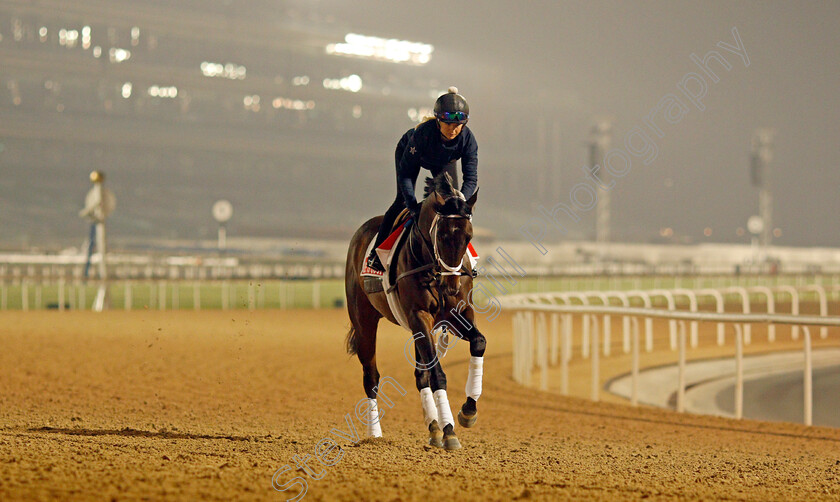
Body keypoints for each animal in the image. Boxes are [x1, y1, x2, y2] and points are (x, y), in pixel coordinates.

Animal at [342, 173, 486, 452]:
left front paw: (468, 411)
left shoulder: (457, 314)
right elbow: (438, 374)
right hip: (364, 319)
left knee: (420, 375)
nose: (451, 286)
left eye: (468, 236)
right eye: (442, 235)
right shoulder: (419, 315)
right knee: (371, 377)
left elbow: (478, 342)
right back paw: (374, 434)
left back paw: (433, 427)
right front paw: (450, 430)